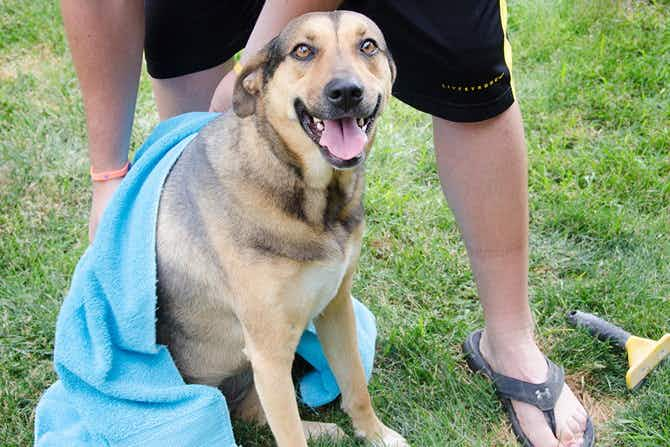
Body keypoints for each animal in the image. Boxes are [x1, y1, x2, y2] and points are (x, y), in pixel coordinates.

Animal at [156, 10, 410, 447]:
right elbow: (289, 433)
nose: (347, 92)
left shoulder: (336, 306)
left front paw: (375, 434)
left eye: (368, 45)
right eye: (303, 51)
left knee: (253, 412)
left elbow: (355, 384)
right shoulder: (269, 351)